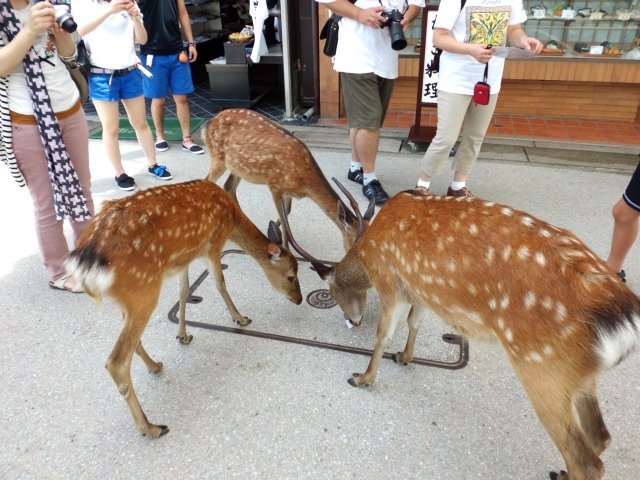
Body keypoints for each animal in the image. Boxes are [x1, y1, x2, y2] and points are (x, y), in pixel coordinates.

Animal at [65, 180, 302, 438]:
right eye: (291, 276)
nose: (299, 299)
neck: (232, 217)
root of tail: (86, 261)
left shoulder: (184, 258)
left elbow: (184, 291)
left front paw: (183, 335)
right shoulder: (213, 244)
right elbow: (220, 283)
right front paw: (240, 318)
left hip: (128, 298)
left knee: (131, 341)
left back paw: (154, 365)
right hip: (144, 288)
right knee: (116, 361)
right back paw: (151, 427)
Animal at [201, 109, 376, 251]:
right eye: (355, 243)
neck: (304, 182)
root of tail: (207, 125)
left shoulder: (288, 192)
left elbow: (288, 212)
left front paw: (271, 234)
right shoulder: (275, 185)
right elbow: (286, 225)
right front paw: (285, 248)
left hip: (238, 167)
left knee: (228, 186)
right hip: (218, 156)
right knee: (208, 180)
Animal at [284, 181, 640, 480]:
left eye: (332, 292)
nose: (352, 321)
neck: (369, 250)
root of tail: (623, 316)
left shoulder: (390, 282)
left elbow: (384, 333)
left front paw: (363, 377)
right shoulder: (421, 289)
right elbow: (414, 322)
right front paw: (405, 356)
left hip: (542, 368)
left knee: (587, 460)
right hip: (578, 374)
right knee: (601, 436)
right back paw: (563, 471)